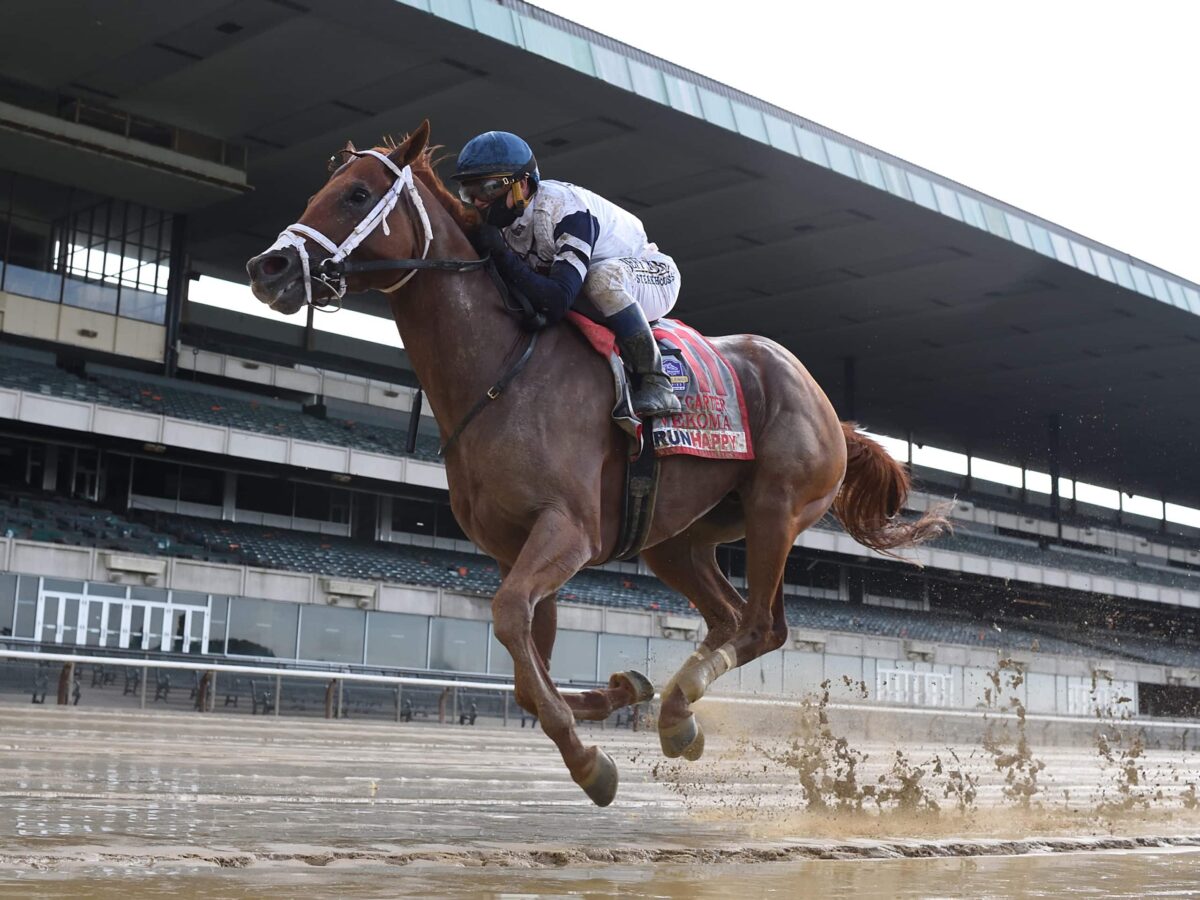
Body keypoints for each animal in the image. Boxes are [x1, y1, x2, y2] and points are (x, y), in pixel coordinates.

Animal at [246, 121, 945, 811]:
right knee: (726, 618)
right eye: (321, 189)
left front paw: (589, 762)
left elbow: (510, 620)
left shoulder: (569, 529)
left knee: (761, 626)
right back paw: (671, 707)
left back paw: (678, 708)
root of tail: (829, 407)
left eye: (357, 195)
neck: (502, 370)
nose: (267, 266)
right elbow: (526, 664)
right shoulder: (517, 546)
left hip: (777, 507)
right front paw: (616, 694)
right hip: (677, 539)